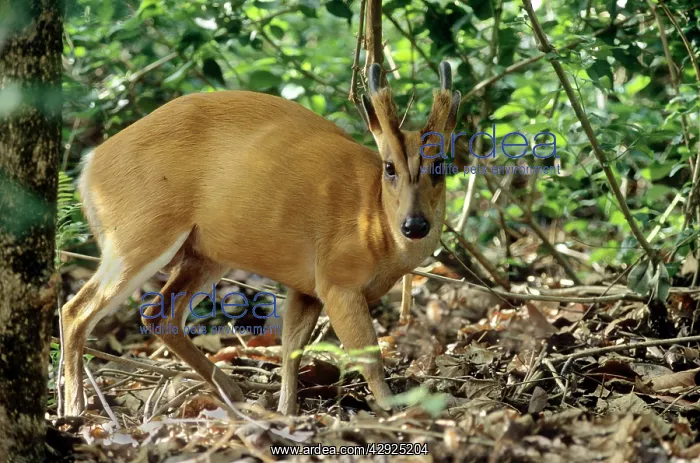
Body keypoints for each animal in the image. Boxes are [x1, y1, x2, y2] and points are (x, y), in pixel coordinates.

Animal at [61, 61, 461, 417]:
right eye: (389, 167)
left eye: (440, 167)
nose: (415, 225)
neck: (374, 224)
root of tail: (88, 166)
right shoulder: (337, 280)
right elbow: (369, 356)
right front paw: (393, 408)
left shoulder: (307, 287)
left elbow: (291, 350)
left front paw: (286, 411)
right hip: (139, 232)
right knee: (75, 310)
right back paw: (76, 408)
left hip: (204, 253)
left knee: (159, 314)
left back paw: (231, 390)